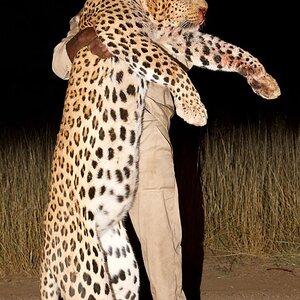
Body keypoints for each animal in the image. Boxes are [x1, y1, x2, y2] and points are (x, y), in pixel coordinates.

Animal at [39, 0, 282, 300]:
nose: (205, 9)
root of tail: (47, 253)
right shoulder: (123, 36)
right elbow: (170, 66)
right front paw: (193, 110)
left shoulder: (176, 37)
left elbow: (224, 49)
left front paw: (264, 80)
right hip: (89, 276)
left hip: (123, 268)